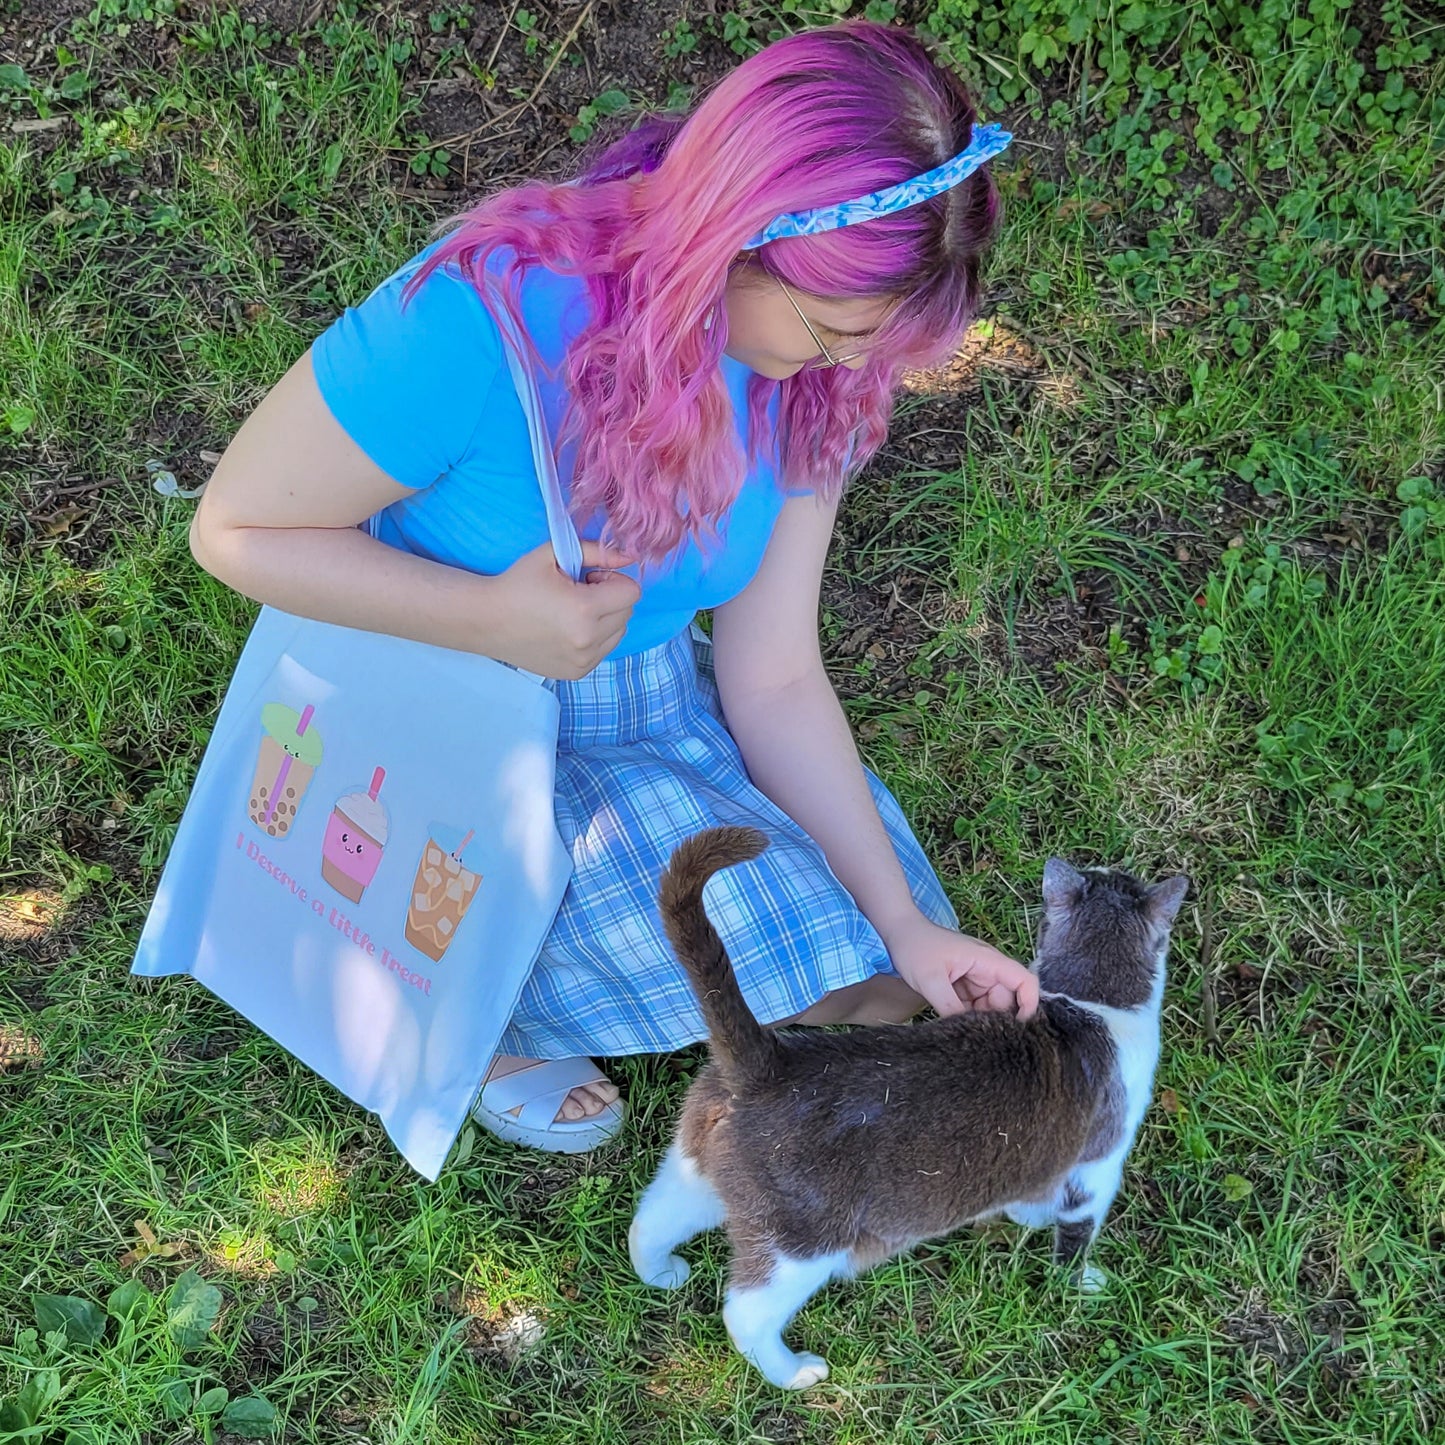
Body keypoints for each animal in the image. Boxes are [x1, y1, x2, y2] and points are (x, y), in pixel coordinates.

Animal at [632, 832, 1184, 1392]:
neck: (1090, 1004)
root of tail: (767, 1063)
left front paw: (1028, 1214)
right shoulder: (1097, 1165)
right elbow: (1076, 1231)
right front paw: (1081, 1281)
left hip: (696, 1164)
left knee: (651, 1219)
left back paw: (662, 1272)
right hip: (803, 1239)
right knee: (745, 1313)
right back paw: (793, 1371)